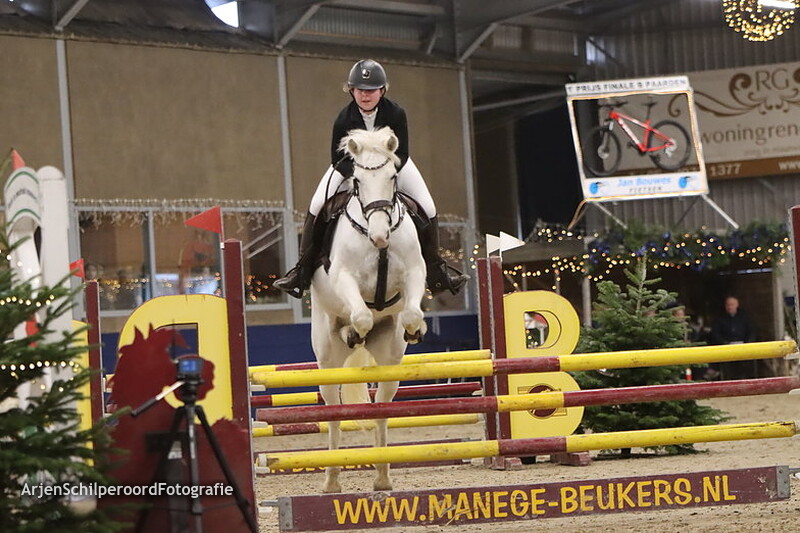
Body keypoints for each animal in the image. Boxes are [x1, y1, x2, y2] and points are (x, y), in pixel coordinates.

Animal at [309, 126, 428, 493]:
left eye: (392, 177)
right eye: (357, 181)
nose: (379, 238)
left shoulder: (415, 272)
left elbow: (412, 311)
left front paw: (415, 329)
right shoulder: (343, 277)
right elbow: (361, 313)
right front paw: (353, 331)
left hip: (390, 363)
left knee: (381, 408)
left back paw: (383, 476)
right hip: (327, 361)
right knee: (333, 411)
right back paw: (331, 481)